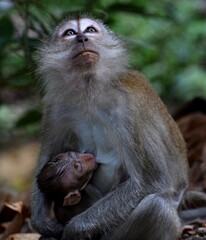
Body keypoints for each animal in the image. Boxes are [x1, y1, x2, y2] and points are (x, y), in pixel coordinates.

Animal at [31, 14, 188, 240]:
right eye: (70, 33)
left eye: (90, 30)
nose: (82, 38)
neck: (89, 91)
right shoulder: (55, 106)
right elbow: (46, 160)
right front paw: (42, 223)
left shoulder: (129, 108)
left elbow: (151, 182)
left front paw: (73, 230)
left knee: (157, 207)